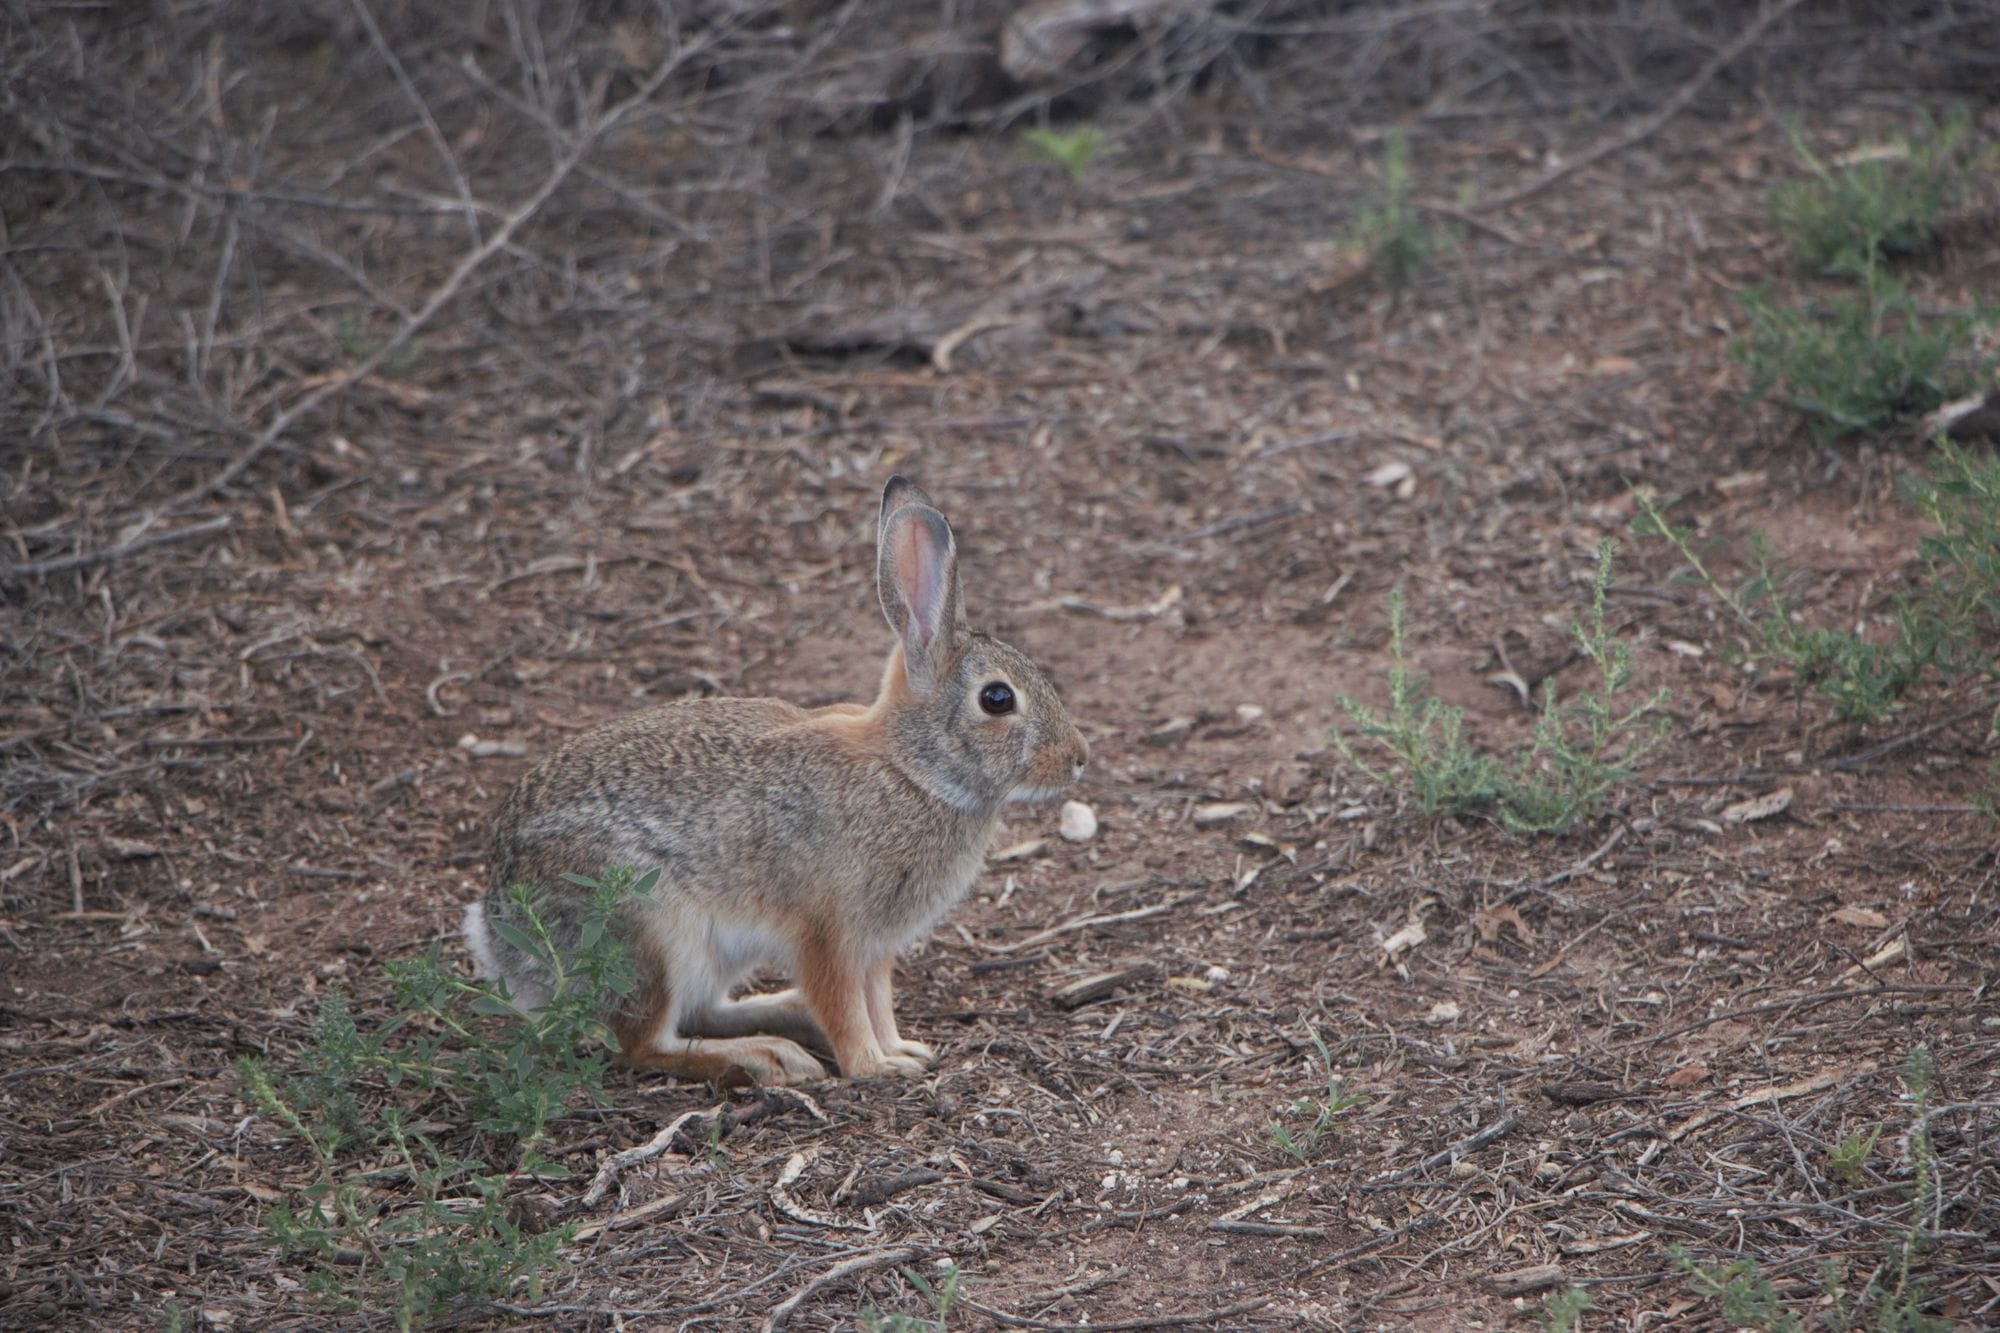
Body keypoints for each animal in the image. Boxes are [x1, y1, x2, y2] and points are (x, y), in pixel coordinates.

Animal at [464, 476, 1089, 1085]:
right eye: (997, 699)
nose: (1079, 758)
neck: (912, 770)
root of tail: (501, 938)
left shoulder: (875, 947)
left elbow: (878, 1000)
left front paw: (902, 1049)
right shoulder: (829, 934)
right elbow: (845, 1005)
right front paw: (874, 1066)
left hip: (706, 955)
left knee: (699, 1014)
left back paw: (785, 1019)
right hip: (651, 931)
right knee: (642, 1044)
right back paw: (764, 1058)